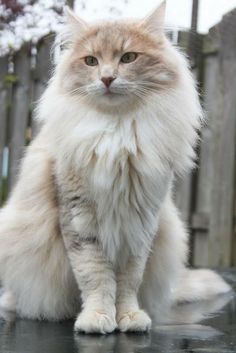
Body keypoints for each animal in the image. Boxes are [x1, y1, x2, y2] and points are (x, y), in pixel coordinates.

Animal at [0, 2, 230, 332]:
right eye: (91, 61)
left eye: (128, 57)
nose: (107, 78)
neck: (119, 133)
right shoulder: (79, 219)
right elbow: (95, 276)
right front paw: (97, 317)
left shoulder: (141, 223)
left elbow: (129, 280)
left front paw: (129, 317)